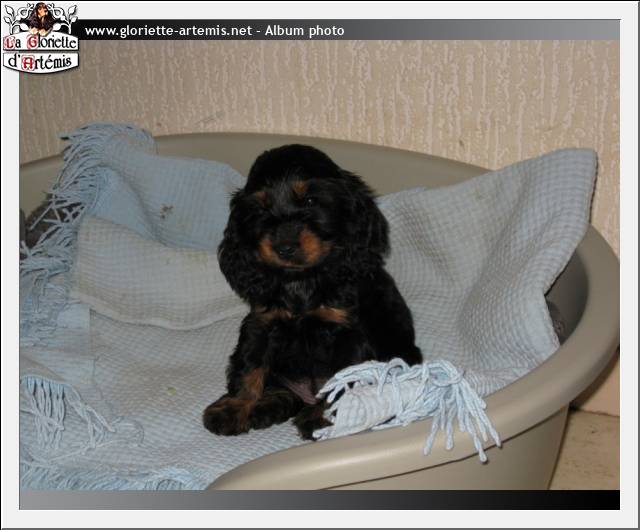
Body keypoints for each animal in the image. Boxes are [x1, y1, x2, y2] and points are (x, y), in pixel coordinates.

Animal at [202, 144, 422, 440]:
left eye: (309, 201)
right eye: (260, 209)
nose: (284, 248)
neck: (302, 280)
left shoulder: (346, 333)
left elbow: (339, 379)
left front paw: (323, 417)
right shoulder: (261, 324)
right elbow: (249, 367)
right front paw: (233, 408)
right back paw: (267, 406)